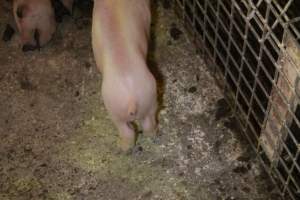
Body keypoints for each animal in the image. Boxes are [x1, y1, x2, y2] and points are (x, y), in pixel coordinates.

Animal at [91, 0, 157, 151]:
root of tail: (131, 99)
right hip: (148, 99)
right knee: (146, 124)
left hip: (115, 109)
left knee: (128, 131)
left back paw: (122, 148)